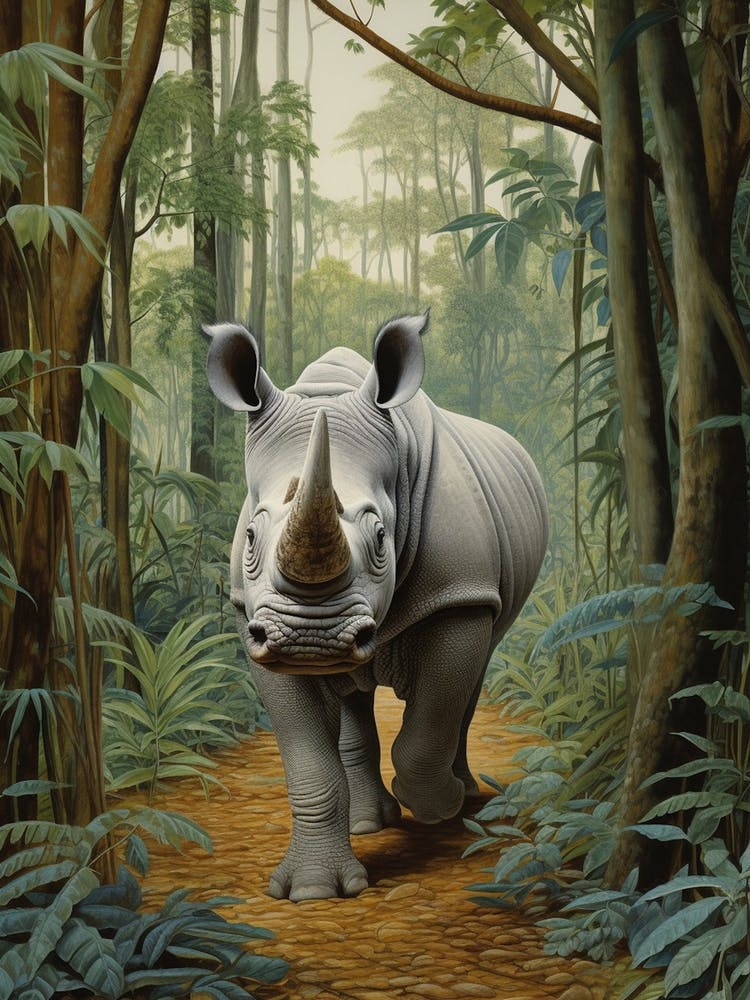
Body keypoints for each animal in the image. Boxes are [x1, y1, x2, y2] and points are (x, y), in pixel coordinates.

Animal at [206, 313, 548, 902]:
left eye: (382, 537)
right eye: (250, 536)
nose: (310, 640)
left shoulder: (460, 594)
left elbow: (433, 716)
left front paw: (437, 808)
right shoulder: (253, 621)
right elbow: (308, 765)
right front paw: (312, 892)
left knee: (473, 675)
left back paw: (460, 798)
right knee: (355, 694)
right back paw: (370, 822)